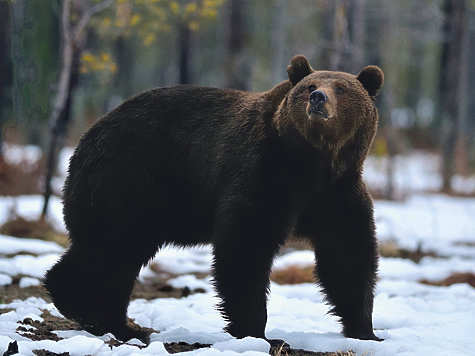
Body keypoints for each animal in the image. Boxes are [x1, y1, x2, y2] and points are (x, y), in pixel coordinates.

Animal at [43, 55, 386, 344]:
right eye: (310, 86)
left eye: (341, 88)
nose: (318, 99)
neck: (311, 164)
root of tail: (86, 137)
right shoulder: (263, 173)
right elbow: (246, 246)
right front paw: (257, 333)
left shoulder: (337, 193)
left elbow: (348, 257)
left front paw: (366, 331)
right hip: (130, 180)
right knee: (112, 246)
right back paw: (85, 309)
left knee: (119, 260)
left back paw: (121, 326)